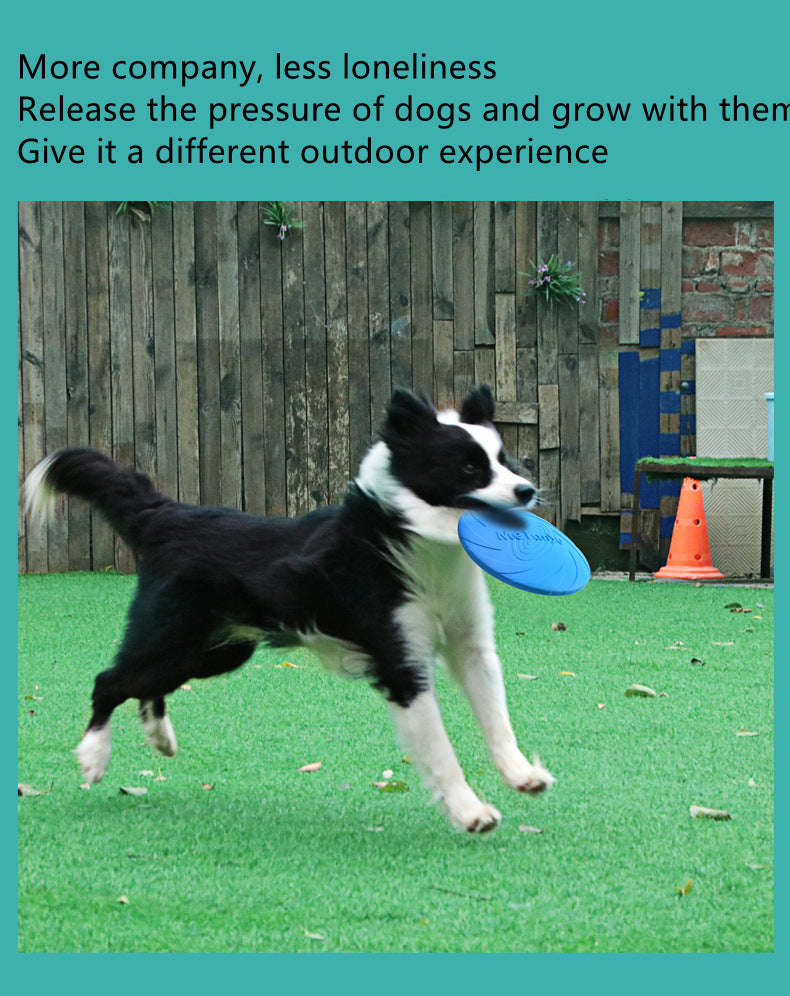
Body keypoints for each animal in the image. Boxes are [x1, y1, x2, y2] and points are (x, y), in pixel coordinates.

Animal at [26, 386, 556, 828]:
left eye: (504, 459)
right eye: (468, 468)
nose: (526, 490)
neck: (412, 541)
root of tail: (169, 515)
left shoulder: (472, 646)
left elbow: (497, 718)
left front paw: (521, 774)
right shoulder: (401, 665)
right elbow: (442, 751)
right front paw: (471, 812)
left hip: (214, 651)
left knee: (146, 685)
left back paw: (159, 736)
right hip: (173, 636)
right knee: (109, 680)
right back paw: (94, 756)